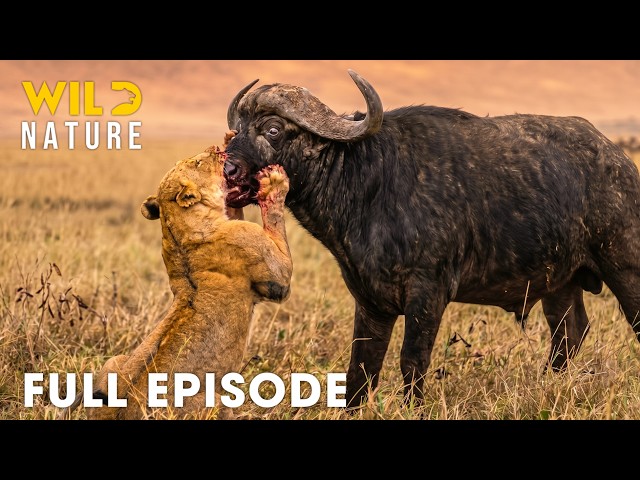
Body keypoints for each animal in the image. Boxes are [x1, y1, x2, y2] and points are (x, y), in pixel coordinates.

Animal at [58, 135, 292, 420]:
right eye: (199, 162)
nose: (215, 148)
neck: (178, 231)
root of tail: (121, 413)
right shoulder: (275, 276)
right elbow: (276, 232)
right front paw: (274, 183)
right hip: (218, 400)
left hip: (115, 361)